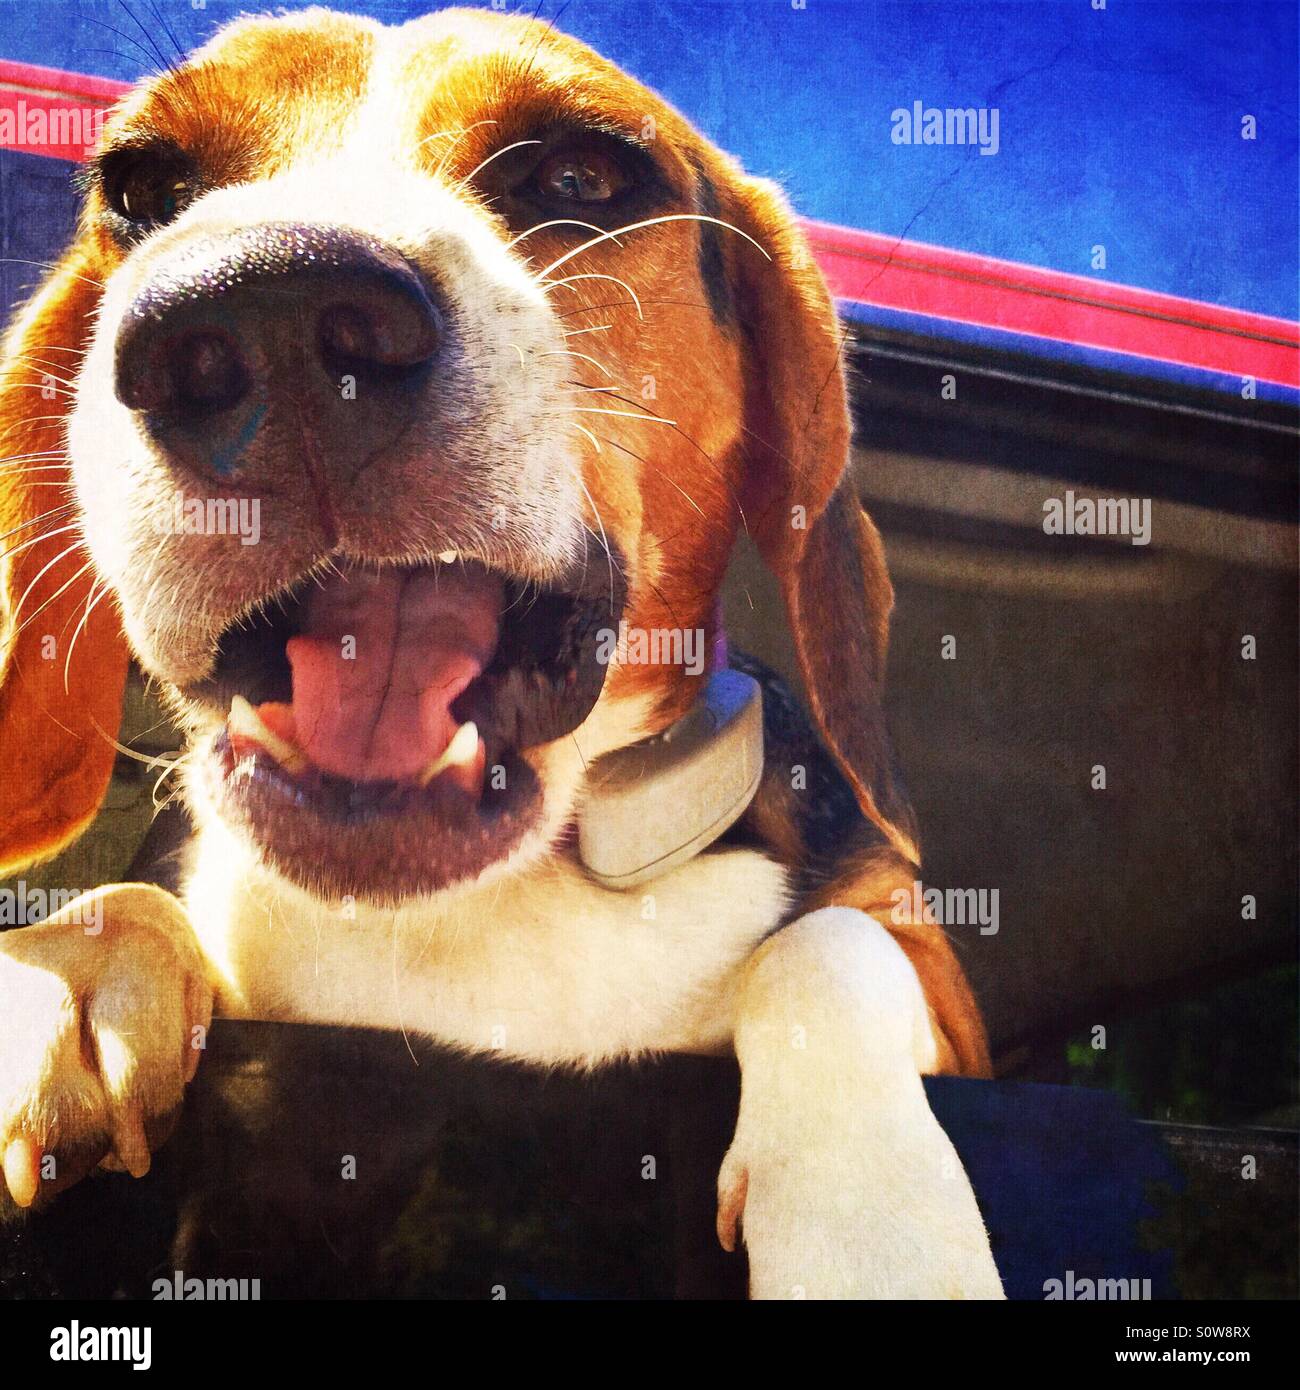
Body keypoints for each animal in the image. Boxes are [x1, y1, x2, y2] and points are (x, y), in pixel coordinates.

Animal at [0, 5, 995, 1295]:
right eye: (144, 188)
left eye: (578, 176)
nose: (261, 308)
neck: (490, 904)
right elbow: (111, 906)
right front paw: (63, 986)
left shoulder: (940, 993)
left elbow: (828, 944)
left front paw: (873, 1222)